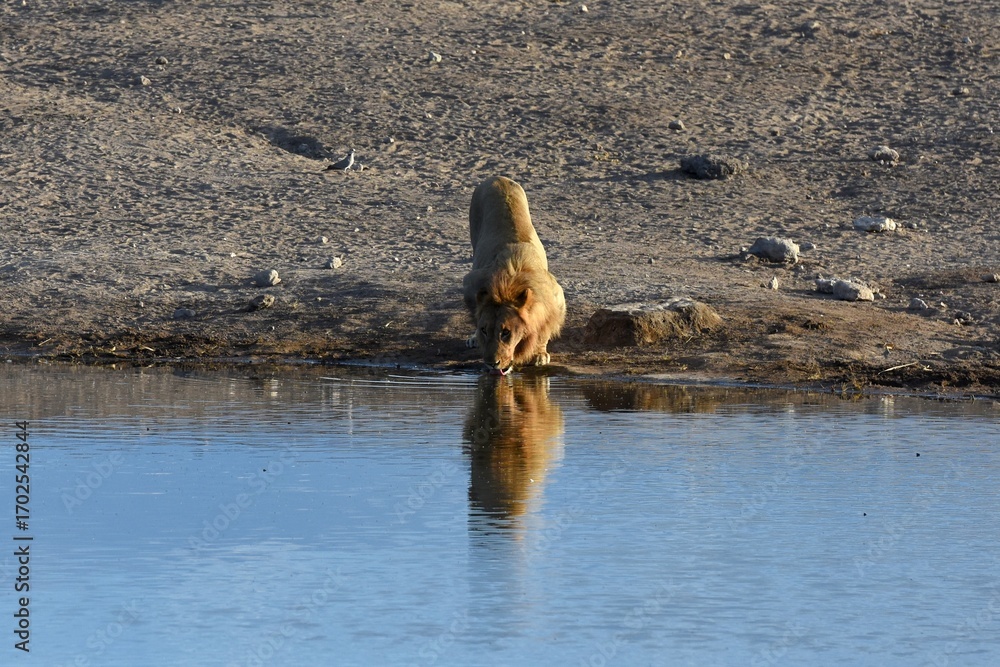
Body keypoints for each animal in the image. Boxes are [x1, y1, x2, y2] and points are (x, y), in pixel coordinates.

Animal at [462, 176, 566, 375]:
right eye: (485, 330)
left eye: (506, 332)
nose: (491, 363)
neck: (507, 284)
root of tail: (497, 177)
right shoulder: (471, 282)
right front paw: (477, 336)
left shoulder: (555, 296)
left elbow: (545, 327)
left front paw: (539, 353)